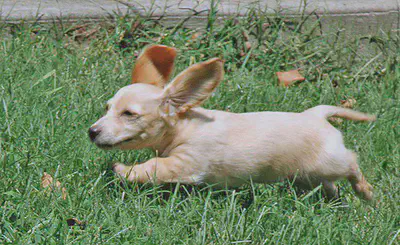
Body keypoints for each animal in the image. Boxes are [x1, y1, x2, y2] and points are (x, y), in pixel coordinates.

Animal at [89, 45, 376, 200]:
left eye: (129, 114)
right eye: (107, 108)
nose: (91, 132)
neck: (184, 127)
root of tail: (314, 114)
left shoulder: (186, 162)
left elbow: (154, 167)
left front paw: (123, 170)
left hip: (329, 162)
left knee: (352, 163)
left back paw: (366, 192)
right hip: (309, 175)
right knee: (331, 186)